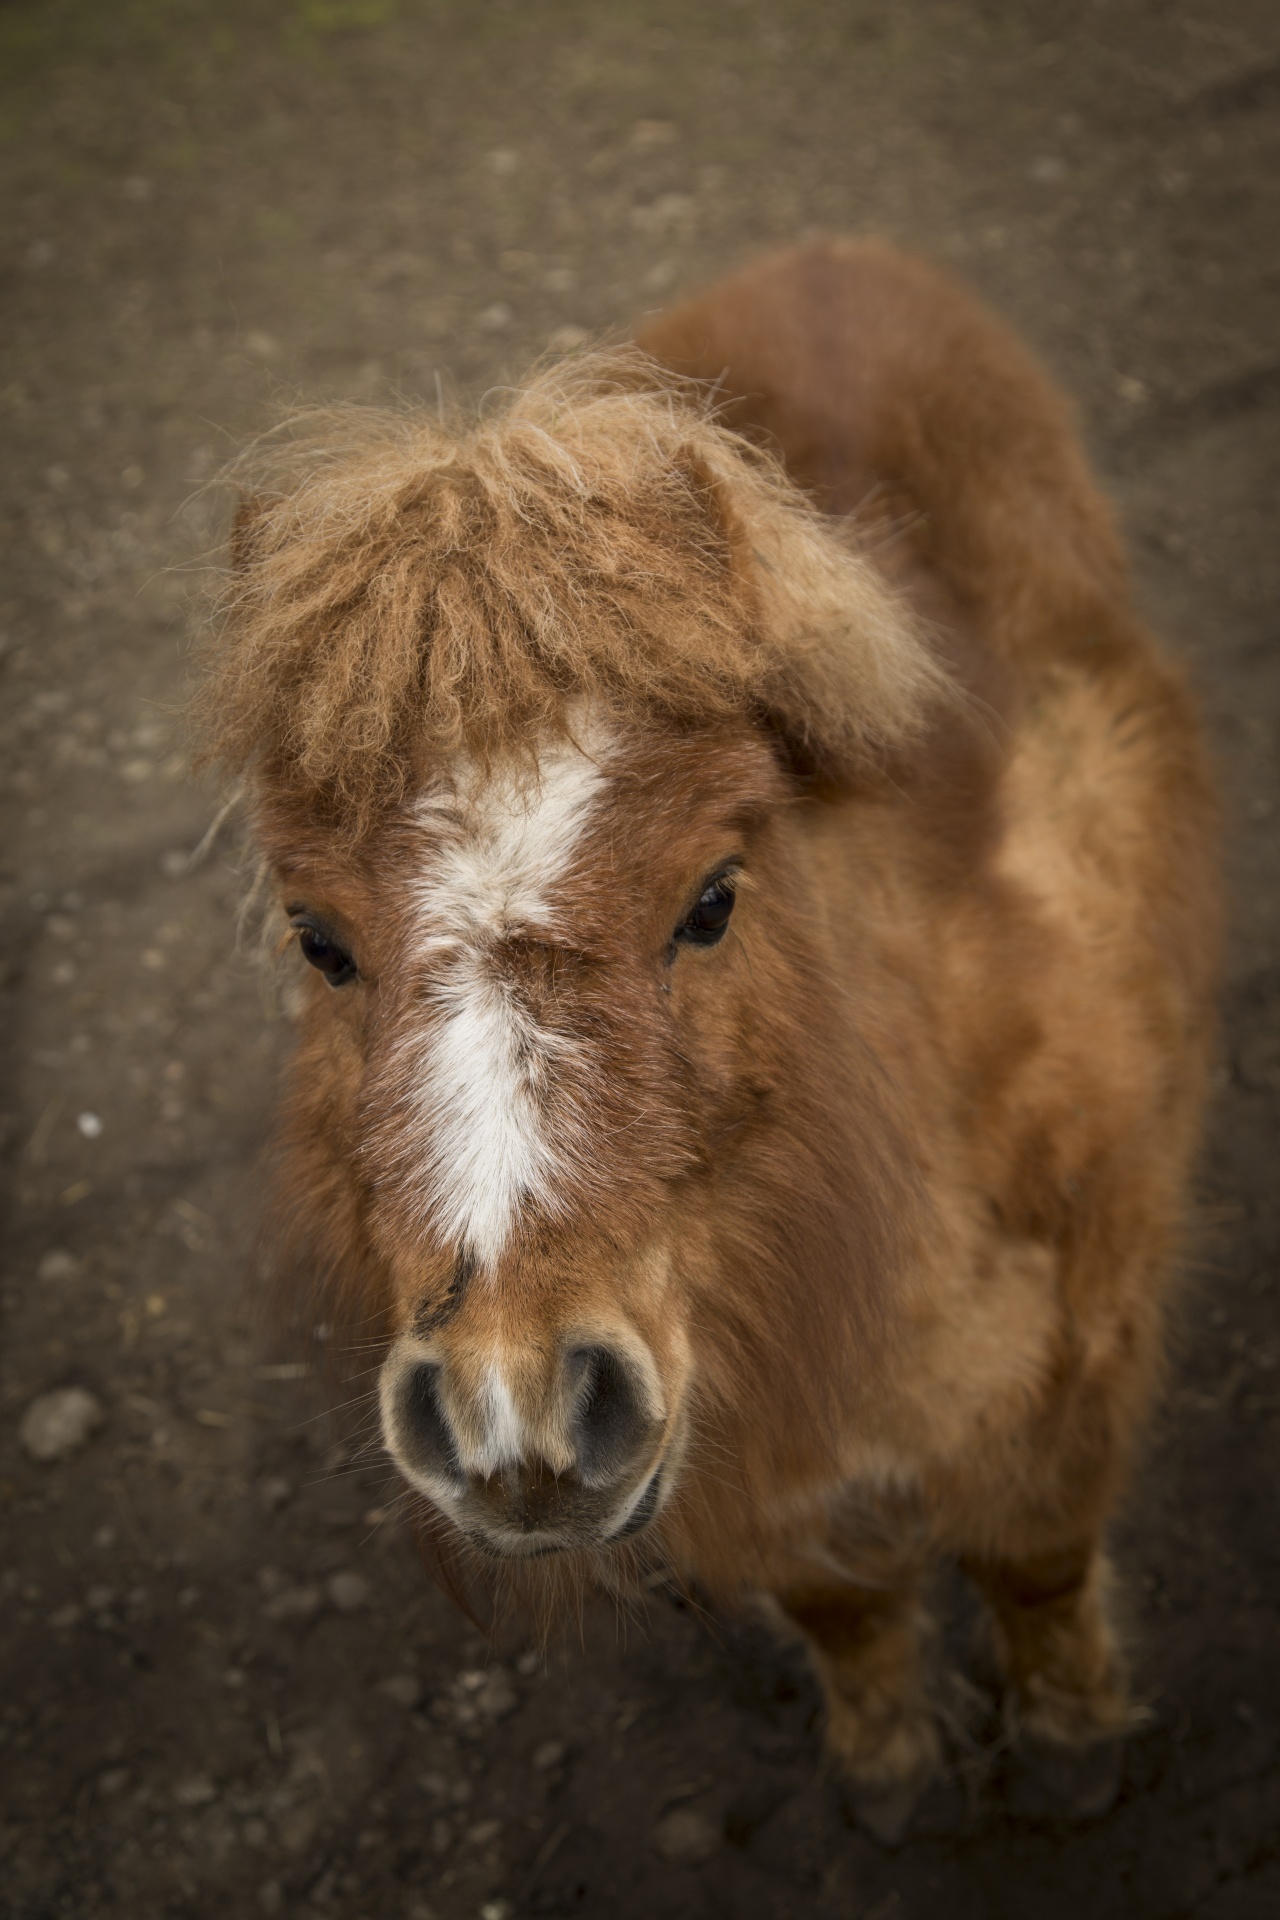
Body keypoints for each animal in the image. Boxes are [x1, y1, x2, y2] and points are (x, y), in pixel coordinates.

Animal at [202, 243, 1220, 1843]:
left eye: (713, 897)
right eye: (318, 939)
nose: (517, 1412)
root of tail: (829, 258)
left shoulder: (1079, 1382)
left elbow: (1037, 1565)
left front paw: (1070, 1750)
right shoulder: (754, 1456)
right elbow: (844, 1603)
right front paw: (889, 1773)